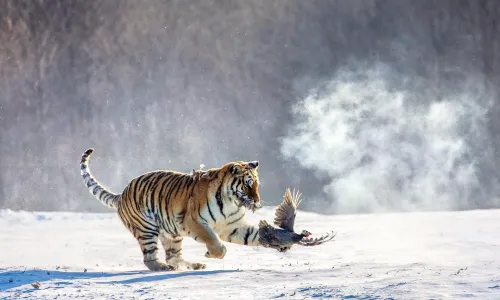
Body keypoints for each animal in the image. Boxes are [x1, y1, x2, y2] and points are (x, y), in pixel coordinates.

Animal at [79, 148, 266, 272]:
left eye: (257, 185)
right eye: (248, 184)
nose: (257, 200)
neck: (231, 203)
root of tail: (121, 194)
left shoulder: (233, 226)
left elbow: (253, 235)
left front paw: (273, 238)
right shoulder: (194, 221)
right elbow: (212, 239)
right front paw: (213, 253)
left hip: (171, 233)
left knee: (174, 256)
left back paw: (194, 265)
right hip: (146, 230)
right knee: (150, 258)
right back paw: (163, 267)